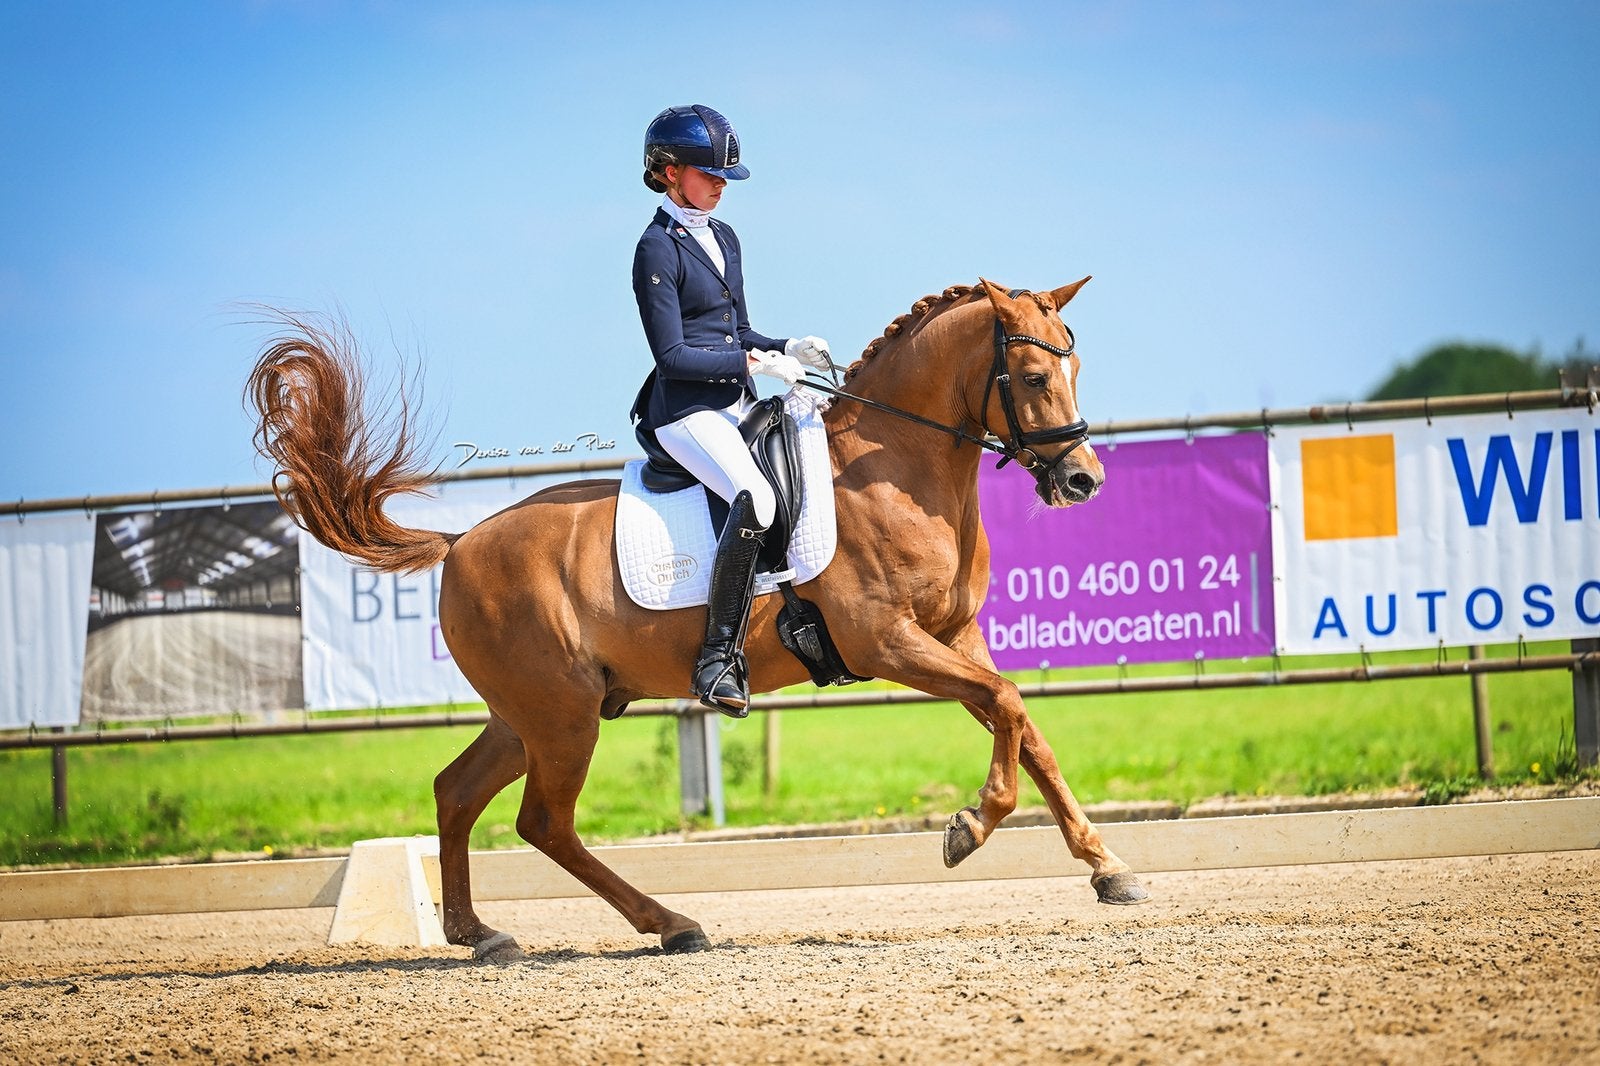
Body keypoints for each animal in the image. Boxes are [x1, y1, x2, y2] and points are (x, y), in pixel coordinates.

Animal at [245, 276, 1149, 962]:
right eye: (1031, 379)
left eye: (1073, 367)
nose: (1083, 479)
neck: (896, 467)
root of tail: (461, 541)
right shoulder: (887, 642)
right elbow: (1006, 705)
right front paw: (969, 827)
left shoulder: (956, 636)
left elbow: (1026, 727)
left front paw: (1108, 868)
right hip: (562, 717)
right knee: (543, 821)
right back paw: (671, 924)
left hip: (530, 713)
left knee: (458, 793)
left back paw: (482, 934)